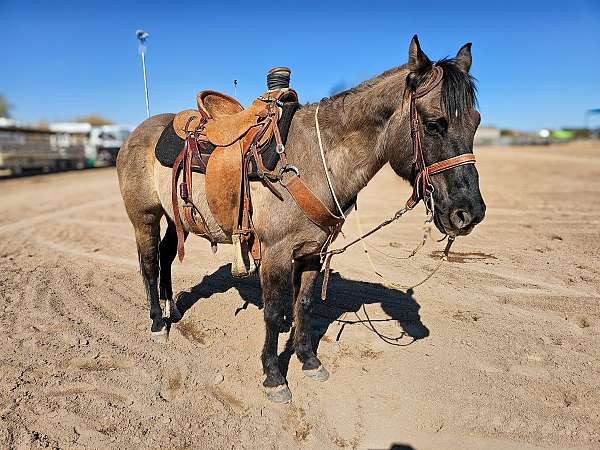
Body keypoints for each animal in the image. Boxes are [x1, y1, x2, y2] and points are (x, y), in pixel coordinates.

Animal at [118, 34, 488, 400]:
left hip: (173, 217)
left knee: (166, 256)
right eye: (434, 124)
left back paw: (173, 310)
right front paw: (273, 375)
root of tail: (137, 132)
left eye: (476, 122)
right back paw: (157, 323)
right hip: (145, 218)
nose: (468, 212)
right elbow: (274, 312)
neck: (314, 161)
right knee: (150, 264)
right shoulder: (276, 253)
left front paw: (308, 359)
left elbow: (305, 304)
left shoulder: (314, 251)